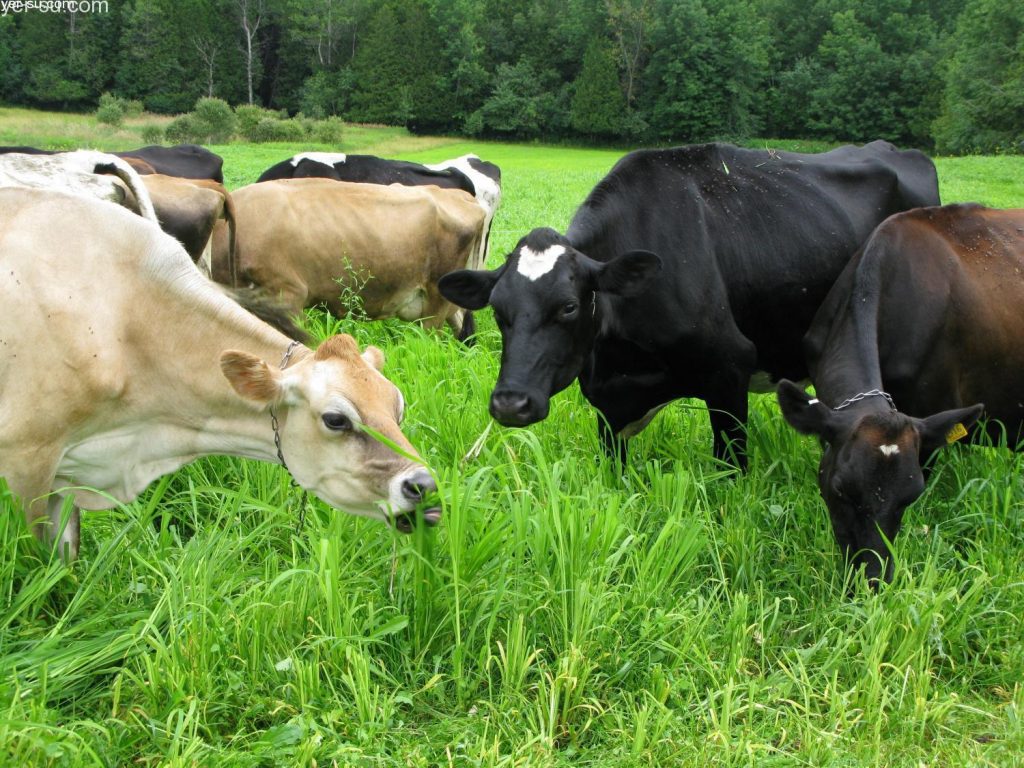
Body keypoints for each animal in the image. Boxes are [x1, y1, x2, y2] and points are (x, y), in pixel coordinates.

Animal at [436, 142, 937, 473]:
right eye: (499, 310)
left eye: (568, 307)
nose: (510, 403)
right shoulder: (608, 404)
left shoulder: (730, 372)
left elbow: (730, 469)